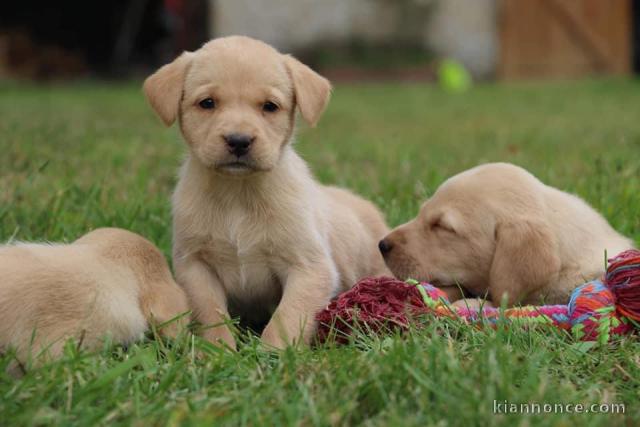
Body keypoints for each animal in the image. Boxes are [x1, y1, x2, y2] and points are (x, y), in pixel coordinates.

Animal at [142, 36, 388, 352]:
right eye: (207, 103)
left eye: (270, 106)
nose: (238, 141)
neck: (238, 193)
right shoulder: (195, 265)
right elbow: (211, 312)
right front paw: (218, 352)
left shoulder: (310, 267)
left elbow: (287, 317)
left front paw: (274, 354)